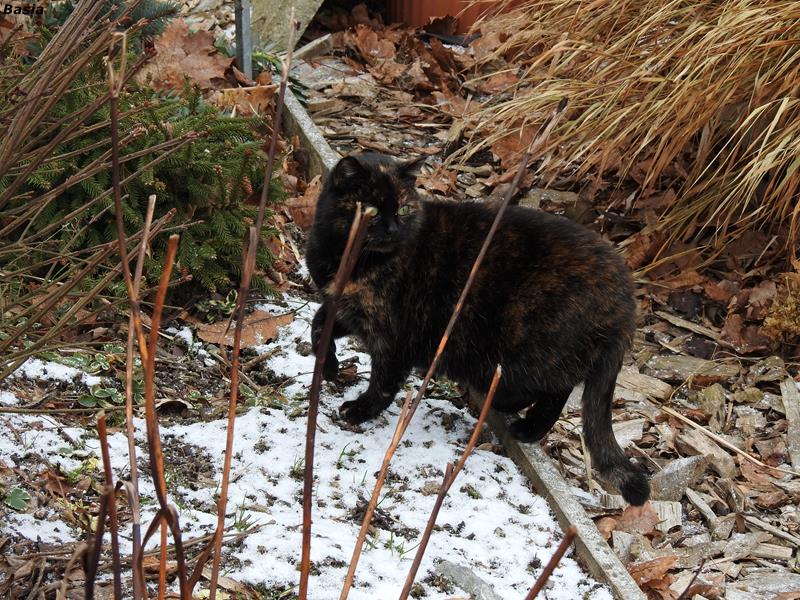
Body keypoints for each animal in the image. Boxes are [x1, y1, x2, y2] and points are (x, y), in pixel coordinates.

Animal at [305, 152, 650, 506]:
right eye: (372, 210)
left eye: (402, 209)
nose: (392, 230)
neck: (349, 260)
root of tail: (626, 302)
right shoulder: (347, 309)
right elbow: (318, 325)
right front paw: (328, 366)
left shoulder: (393, 336)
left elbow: (383, 383)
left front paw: (360, 409)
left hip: (526, 346)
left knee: (556, 388)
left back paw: (522, 423)